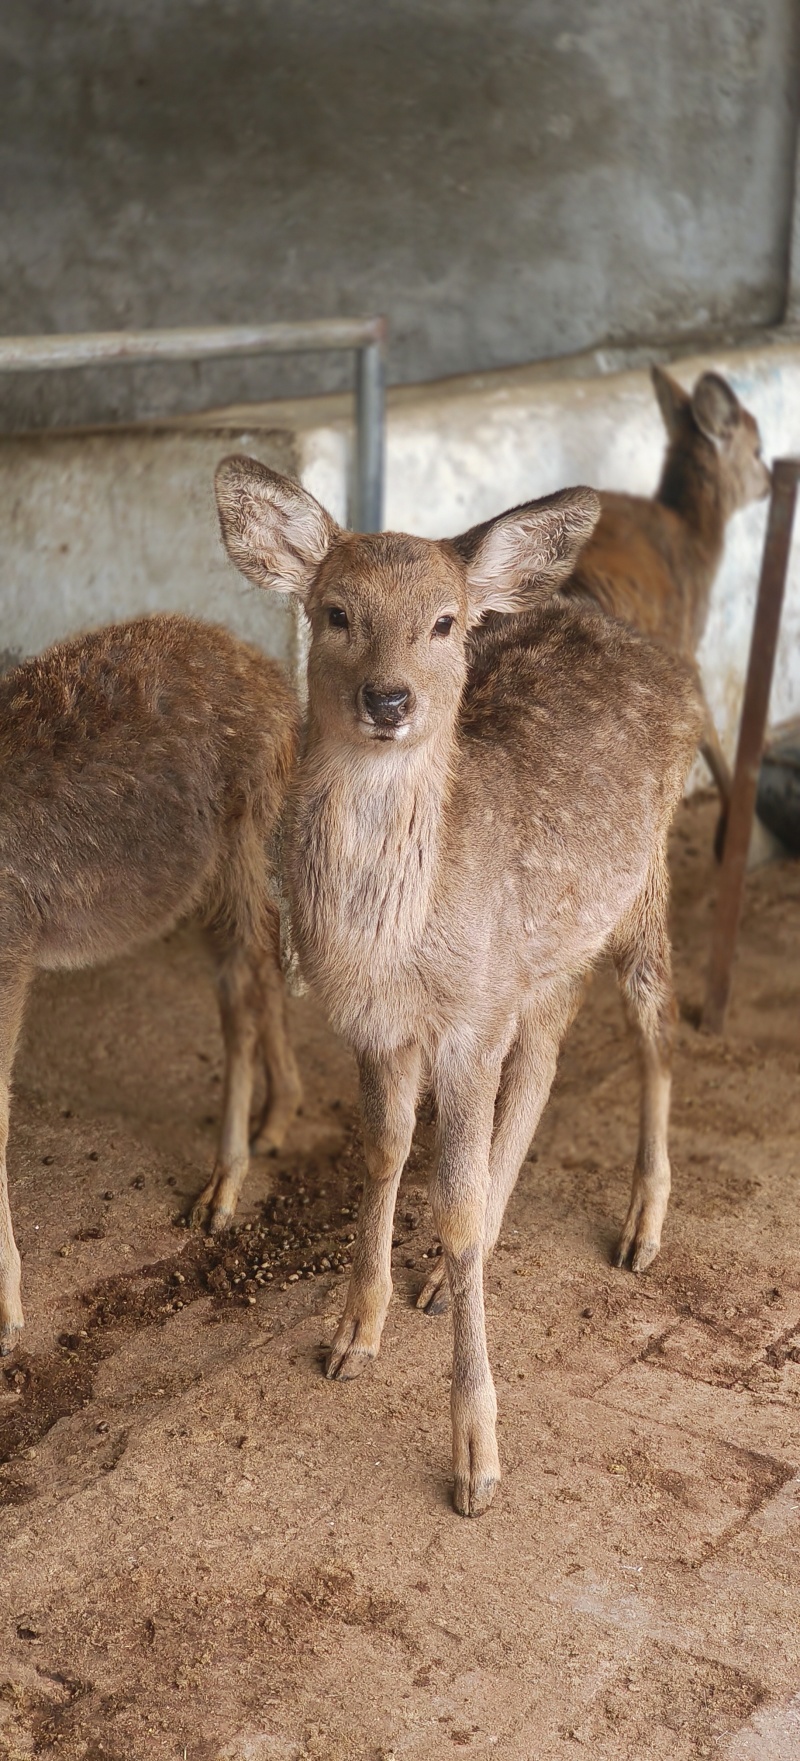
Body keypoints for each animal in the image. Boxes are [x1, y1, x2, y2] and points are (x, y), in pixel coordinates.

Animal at [0, 613, 302, 1356]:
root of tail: (284, 688)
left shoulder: (12, 944)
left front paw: (9, 1315)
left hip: (243, 839)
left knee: (245, 983)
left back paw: (223, 1190)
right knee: (265, 959)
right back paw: (278, 1118)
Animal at [216, 456, 703, 1517]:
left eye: (443, 622)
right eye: (334, 612)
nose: (389, 700)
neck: (395, 943)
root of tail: (665, 659)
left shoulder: (469, 1018)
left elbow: (456, 1201)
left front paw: (476, 1456)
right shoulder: (383, 1024)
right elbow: (386, 1154)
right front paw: (354, 1331)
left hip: (645, 879)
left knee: (659, 1026)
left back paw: (643, 1227)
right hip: (545, 953)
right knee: (549, 1053)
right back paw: (448, 1276)